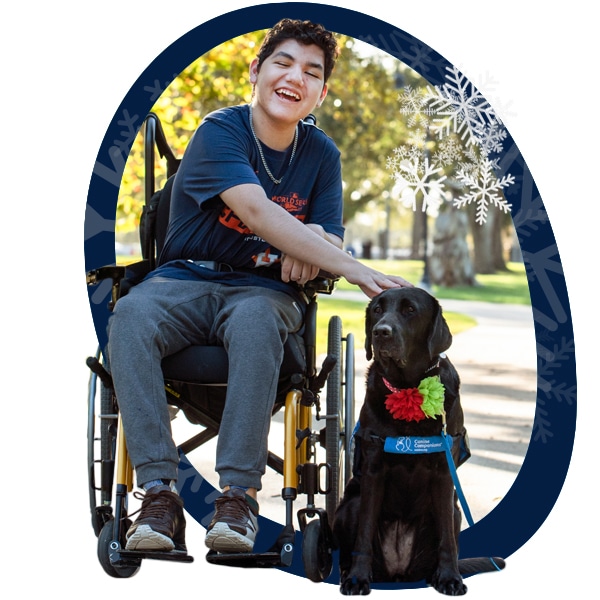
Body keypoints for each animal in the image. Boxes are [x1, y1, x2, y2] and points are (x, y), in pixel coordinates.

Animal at [336, 288, 504, 596]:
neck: (408, 386)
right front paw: (357, 578)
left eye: (410, 310)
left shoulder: (443, 472)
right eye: (377, 310)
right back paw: (347, 572)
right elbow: (364, 532)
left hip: (455, 510)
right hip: (349, 506)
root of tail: (398, 574)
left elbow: (448, 540)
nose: (380, 332)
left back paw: (437, 576)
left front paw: (450, 578)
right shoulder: (374, 469)